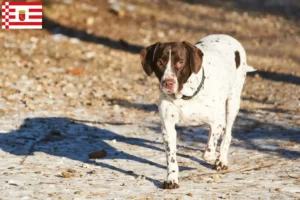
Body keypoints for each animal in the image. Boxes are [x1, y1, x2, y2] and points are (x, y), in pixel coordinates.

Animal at [140, 34, 255, 189]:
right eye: (159, 62)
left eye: (180, 62)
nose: (168, 83)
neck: (185, 96)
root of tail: (226, 36)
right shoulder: (168, 128)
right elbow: (171, 158)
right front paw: (172, 179)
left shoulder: (217, 122)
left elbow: (208, 153)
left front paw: (215, 157)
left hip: (233, 102)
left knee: (227, 134)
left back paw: (222, 160)